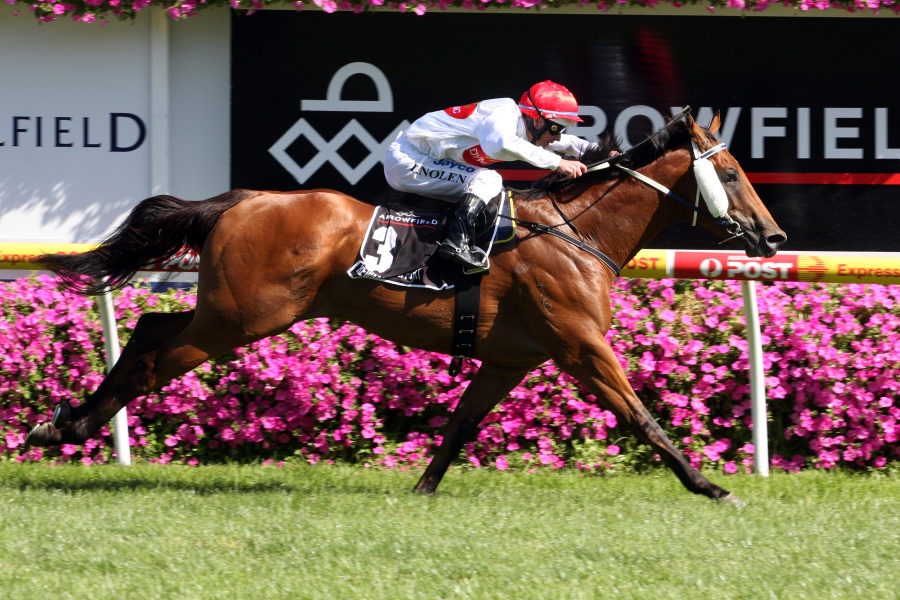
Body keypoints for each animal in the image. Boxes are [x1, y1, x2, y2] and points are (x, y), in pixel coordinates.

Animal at [26, 112, 785, 505]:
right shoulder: (580, 346)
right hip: (242, 318)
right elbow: (642, 416)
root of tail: (240, 201)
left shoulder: (511, 359)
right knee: (155, 358)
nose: (774, 238)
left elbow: (460, 425)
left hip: (228, 311)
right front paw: (710, 487)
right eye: (731, 172)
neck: (577, 234)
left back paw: (65, 421)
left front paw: (421, 489)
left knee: (149, 328)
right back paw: (65, 425)